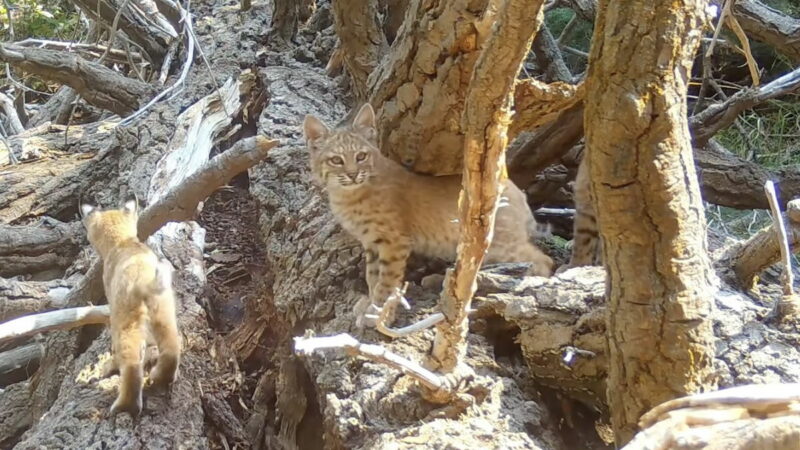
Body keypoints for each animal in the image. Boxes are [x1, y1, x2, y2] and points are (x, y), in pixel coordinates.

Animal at [81, 200, 181, 418]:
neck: (123, 241)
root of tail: (144, 277)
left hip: (126, 319)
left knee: (132, 366)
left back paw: (124, 406)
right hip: (163, 312)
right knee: (171, 349)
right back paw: (161, 378)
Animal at [304, 103, 552, 326]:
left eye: (361, 156)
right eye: (336, 160)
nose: (353, 175)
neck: (348, 193)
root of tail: (513, 187)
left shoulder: (394, 241)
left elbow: (386, 281)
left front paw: (379, 313)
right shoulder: (371, 241)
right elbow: (372, 275)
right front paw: (370, 304)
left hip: (500, 243)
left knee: (544, 260)